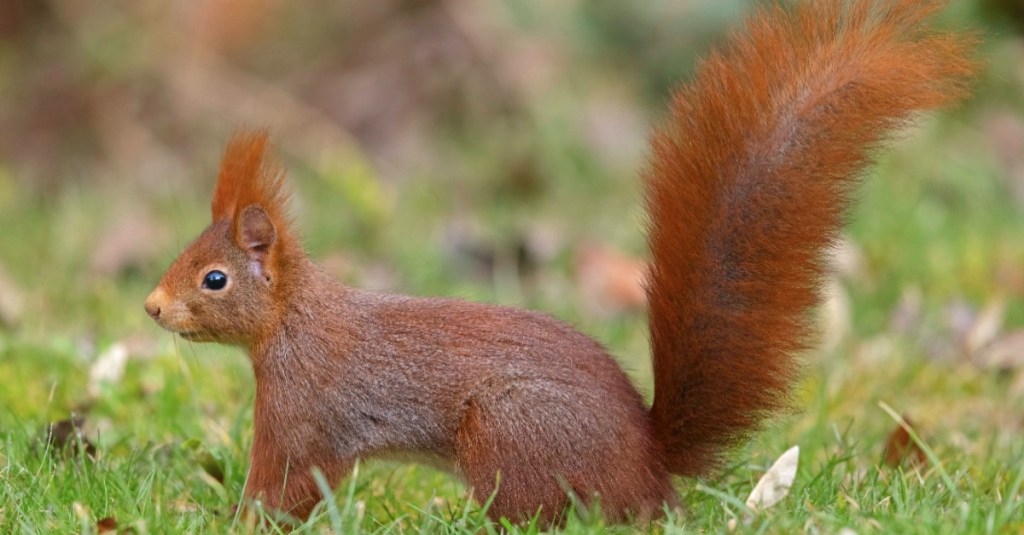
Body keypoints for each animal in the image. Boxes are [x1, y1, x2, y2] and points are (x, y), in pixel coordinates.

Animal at [146, 0, 974, 522]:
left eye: (214, 278)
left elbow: (287, 487)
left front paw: (233, 518)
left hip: (508, 434)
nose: (153, 307)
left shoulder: (306, 411)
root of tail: (646, 463)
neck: (293, 320)